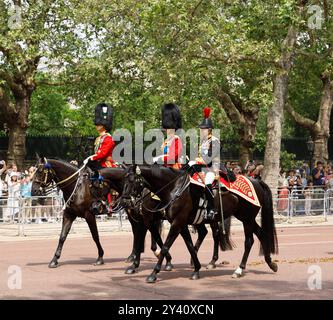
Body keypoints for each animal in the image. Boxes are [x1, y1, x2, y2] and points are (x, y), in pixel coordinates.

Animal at [120, 165, 278, 282]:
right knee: (261, 234)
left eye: (133, 180)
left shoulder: (176, 223)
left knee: (249, 241)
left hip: (247, 218)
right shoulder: (180, 224)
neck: (174, 188)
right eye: (124, 180)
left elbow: (164, 246)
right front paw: (196, 269)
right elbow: (189, 245)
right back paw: (271, 263)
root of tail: (256, 181)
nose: (124, 201)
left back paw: (239, 269)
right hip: (245, 217)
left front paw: (153, 273)